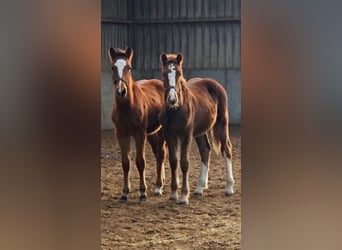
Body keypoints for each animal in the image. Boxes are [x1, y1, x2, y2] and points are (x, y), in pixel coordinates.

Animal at [107, 47, 166, 202]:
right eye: (113, 67)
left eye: (129, 68)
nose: (121, 91)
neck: (127, 107)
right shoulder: (121, 135)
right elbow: (125, 163)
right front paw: (124, 193)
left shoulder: (139, 135)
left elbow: (140, 162)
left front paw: (143, 192)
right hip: (151, 134)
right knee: (157, 153)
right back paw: (160, 183)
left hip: (160, 131)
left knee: (161, 154)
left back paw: (159, 186)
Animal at [160, 52, 235, 205]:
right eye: (164, 73)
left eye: (179, 73)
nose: (172, 99)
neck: (176, 110)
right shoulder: (169, 135)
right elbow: (173, 162)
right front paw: (173, 194)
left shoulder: (186, 135)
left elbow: (184, 162)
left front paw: (183, 196)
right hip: (201, 131)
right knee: (205, 150)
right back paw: (200, 188)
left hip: (221, 124)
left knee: (227, 149)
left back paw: (229, 188)